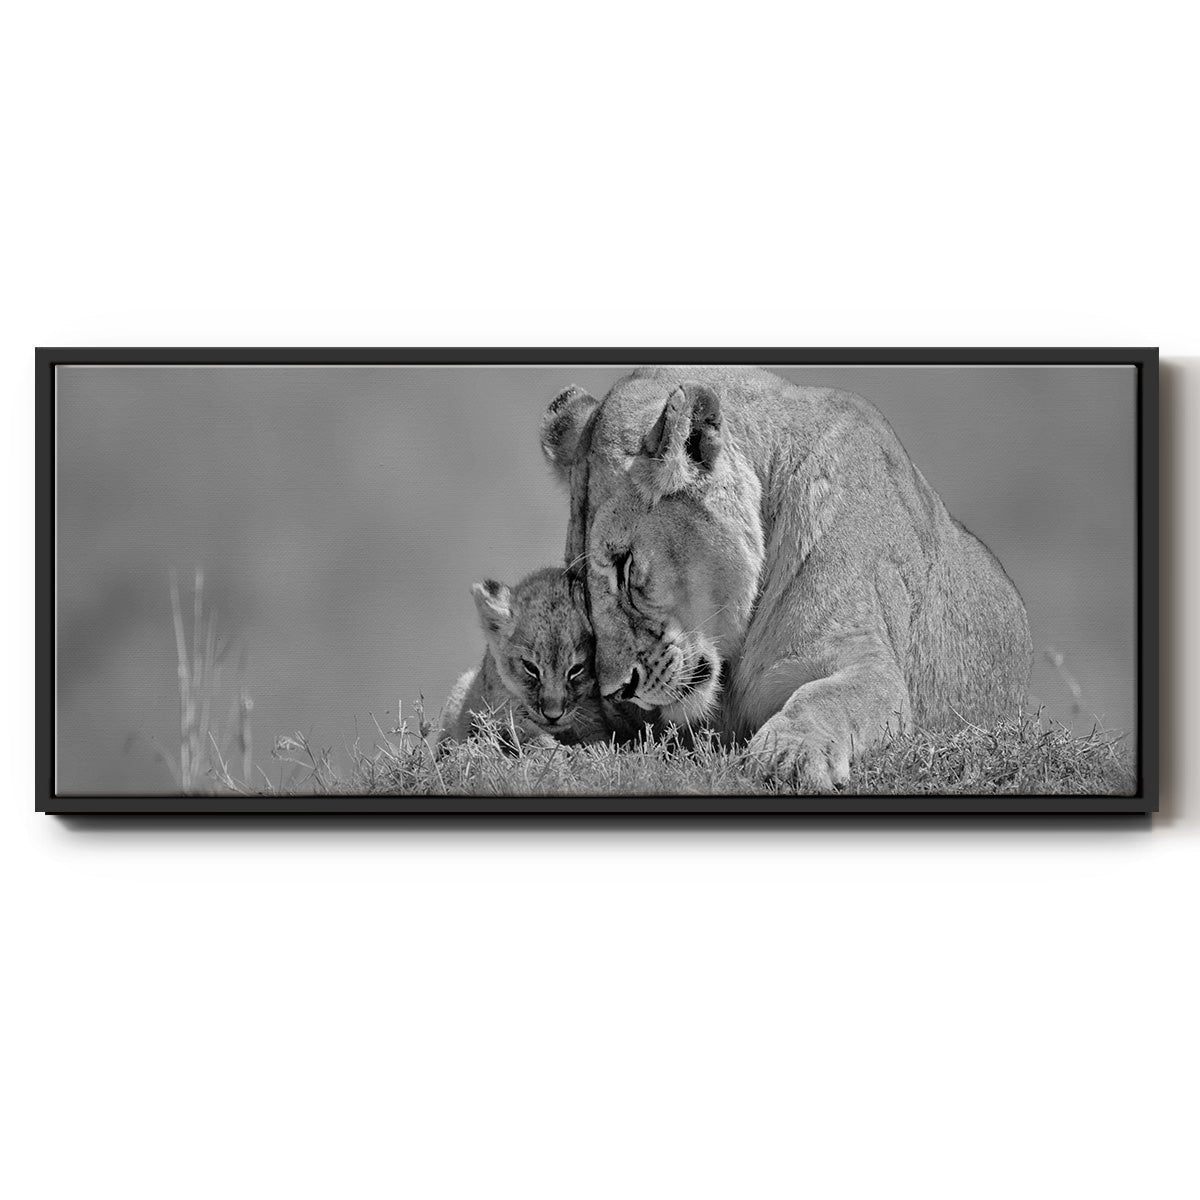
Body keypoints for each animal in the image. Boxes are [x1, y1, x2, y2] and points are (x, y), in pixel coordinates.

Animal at [540, 366, 1033, 789]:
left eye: (624, 565)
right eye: (581, 584)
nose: (616, 691)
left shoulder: (865, 660)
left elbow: (827, 697)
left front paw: (788, 754)